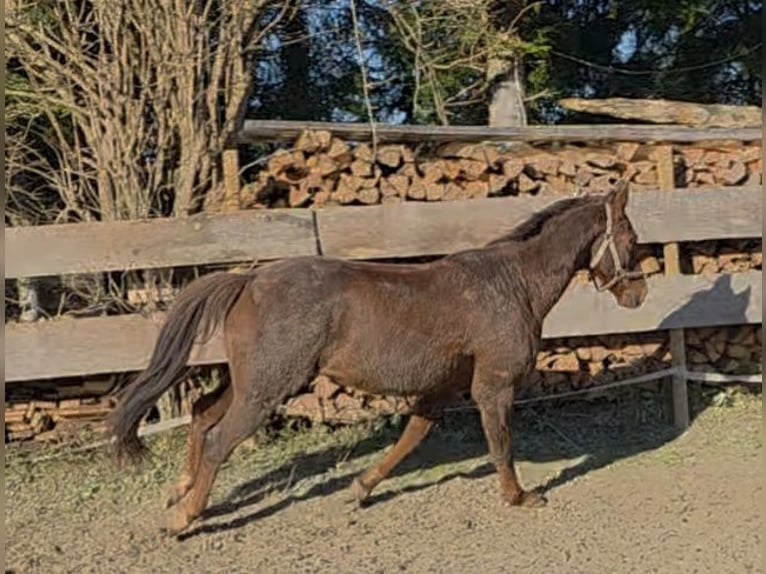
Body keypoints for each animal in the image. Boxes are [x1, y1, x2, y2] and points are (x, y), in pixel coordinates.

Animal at [106, 181, 648, 535]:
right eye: (631, 240)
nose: (639, 294)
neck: (512, 285)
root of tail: (249, 278)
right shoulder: (493, 386)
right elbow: (501, 444)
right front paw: (520, 497)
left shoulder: (441, 389)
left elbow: (411, 438)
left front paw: (361, 489)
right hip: (267, 388)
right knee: (220, 438)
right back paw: (183, 518)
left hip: (249, 383)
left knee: (201, 416)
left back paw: (179, 491)